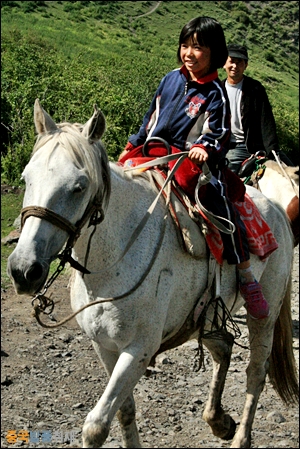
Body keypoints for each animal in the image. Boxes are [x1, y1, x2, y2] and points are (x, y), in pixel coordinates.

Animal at [7, 100, 298, 446]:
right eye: (26, 178)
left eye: (79, 187)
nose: (24, 270)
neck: (112, 262)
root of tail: (276, 208)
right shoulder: (104, 346)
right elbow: (124, 411)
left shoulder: (138, 350)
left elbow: (96, 425)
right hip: (207, 317)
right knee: (223, 346)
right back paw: (219, 421)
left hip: (264, 316)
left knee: (256, 371)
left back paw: (240, 436)